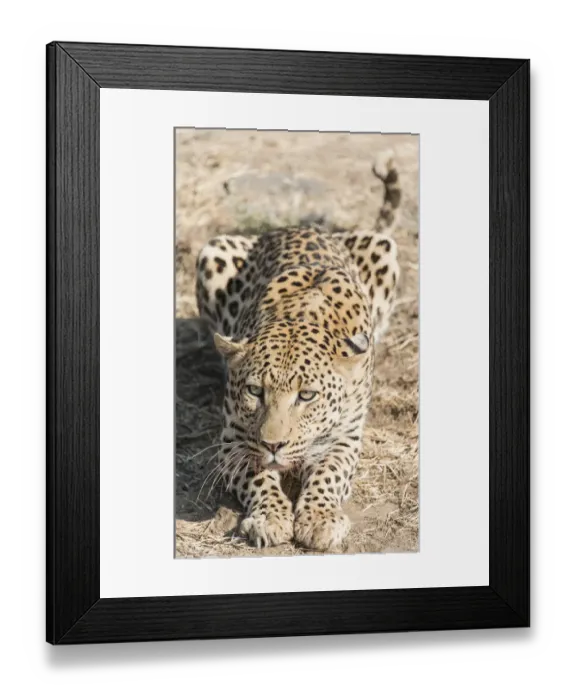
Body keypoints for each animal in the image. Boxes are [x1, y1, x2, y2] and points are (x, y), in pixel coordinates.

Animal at [195, 152, 402, 551]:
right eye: (255, 391)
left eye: (306, 396)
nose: (274, 444)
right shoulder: (233, 439)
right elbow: (258, 474)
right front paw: (270, 518)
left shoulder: (346, 439)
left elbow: (328, 474)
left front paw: (320, 519)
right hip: (213, 252)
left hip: (382, 246)